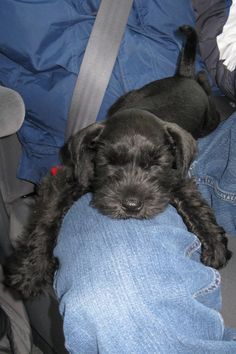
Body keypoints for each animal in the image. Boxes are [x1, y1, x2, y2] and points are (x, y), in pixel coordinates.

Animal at [3, 24, 231, 298]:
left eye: (155, 164)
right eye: (109, 162)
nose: (131, 205)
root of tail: (184, 76)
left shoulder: (176, 175)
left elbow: (195, 204)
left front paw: (214, 243)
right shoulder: (70, 177)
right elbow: (47, 217)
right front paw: (32, 270)